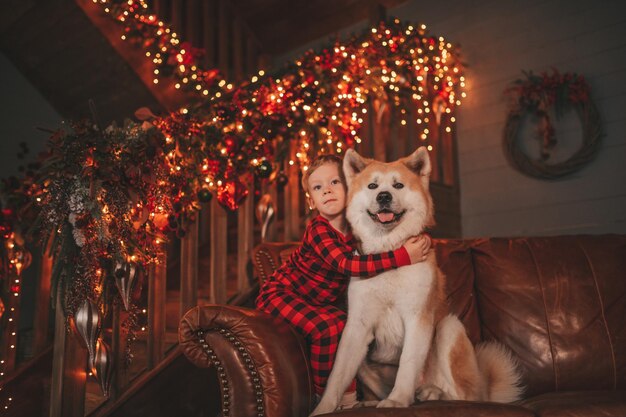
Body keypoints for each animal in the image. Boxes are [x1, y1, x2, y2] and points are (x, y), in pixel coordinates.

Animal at [310, 146, 520, 412]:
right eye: (372, 186)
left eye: (398, 185)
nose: (384, 197)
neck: (389, 256)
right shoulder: (357, 327)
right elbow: (337, 376)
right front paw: (321, 410)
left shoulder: (417, 319)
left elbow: (408, 364)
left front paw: (397, 400)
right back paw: (373, 400)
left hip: (449, 328)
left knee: (462, 395)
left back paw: (430, 393)